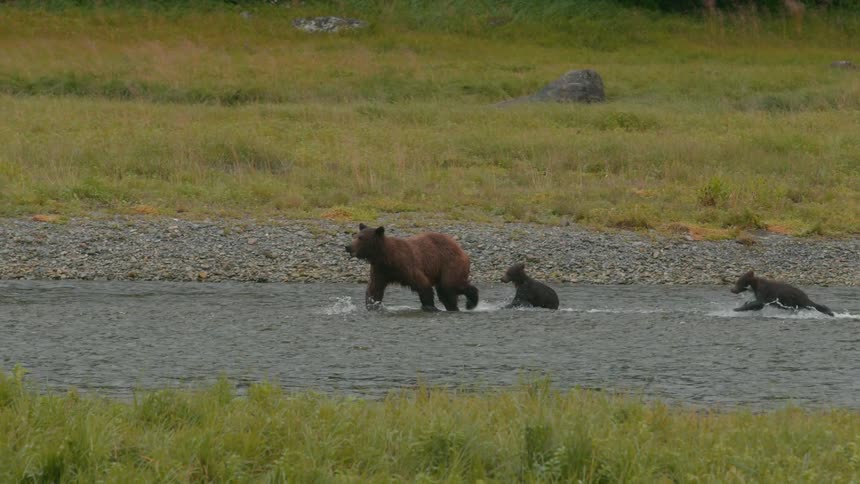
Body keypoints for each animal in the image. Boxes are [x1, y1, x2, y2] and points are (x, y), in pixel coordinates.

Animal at [345, 224, 479, 312]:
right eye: (355, 236)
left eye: (361, 238)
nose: (348, 247)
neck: (385, 257)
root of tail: (460, 249)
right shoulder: (380, 270)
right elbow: (374, 288)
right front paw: (372, 305)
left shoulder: (406, 265)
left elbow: (422, 283)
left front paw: (429, 306)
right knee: (445, 292)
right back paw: (454, 307)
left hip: (450, 263)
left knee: (450, 285)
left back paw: (470, 303)